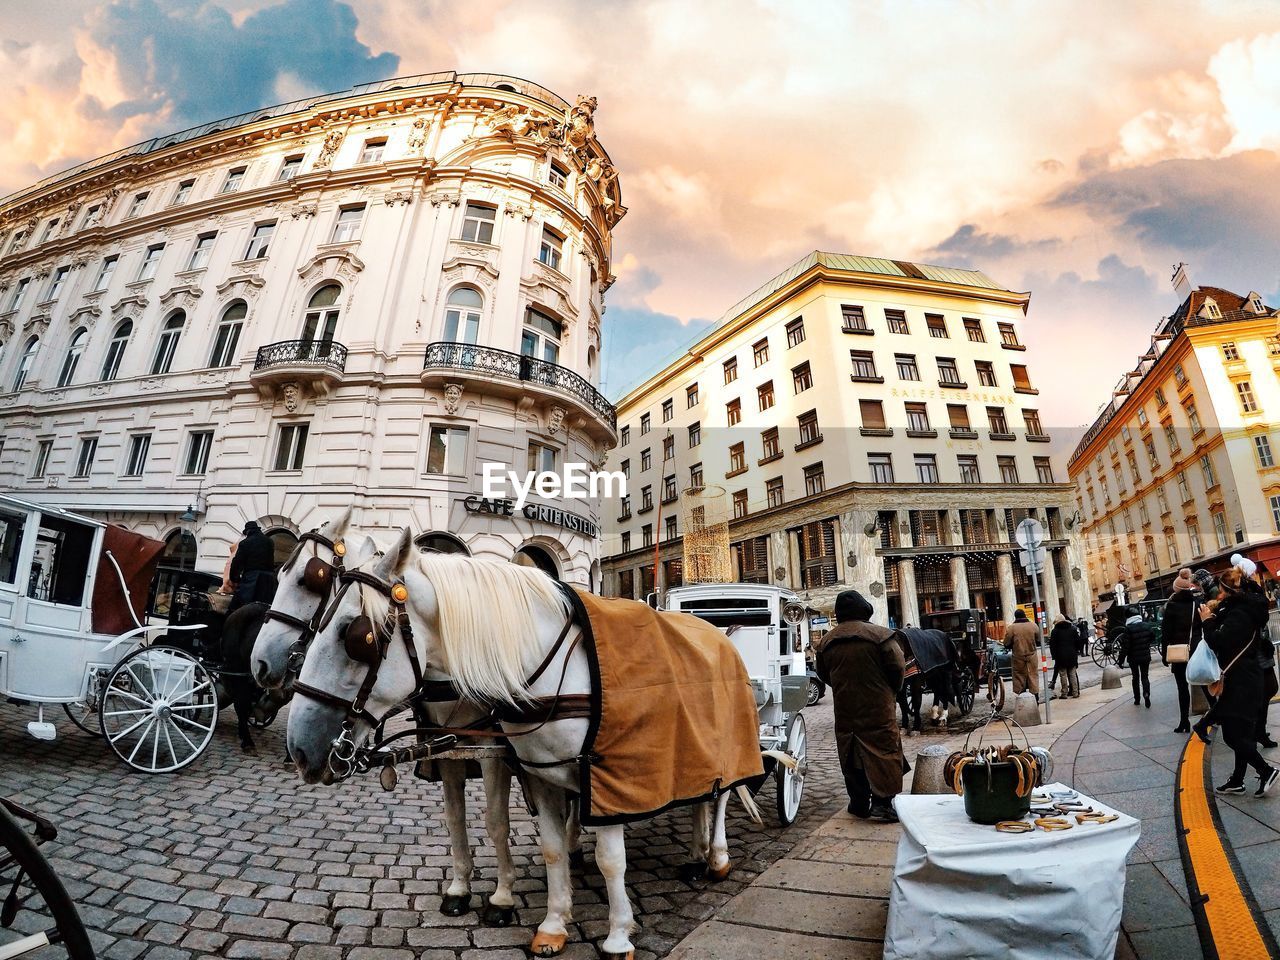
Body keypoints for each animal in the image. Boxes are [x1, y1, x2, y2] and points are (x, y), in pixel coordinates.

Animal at [253, 519, 519, 931]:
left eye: (307, 579)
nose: (260, 664)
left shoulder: (493, 749)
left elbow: (495, 821)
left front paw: (503, 896)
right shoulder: (450, 749)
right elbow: (454, 818)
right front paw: (460, 888)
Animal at [288, 529, 747, 957]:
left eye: (356, 636)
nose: (300, 749)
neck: (544, 667)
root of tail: (718, 633)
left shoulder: (606, 778)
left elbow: (609, 859)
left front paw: (618, 936)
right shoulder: (539, 775)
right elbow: (551, 848)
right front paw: (554, 925)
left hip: (727, 744)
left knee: (723, 795)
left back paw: (717, 857)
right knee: (700, 795)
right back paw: (695, 853)